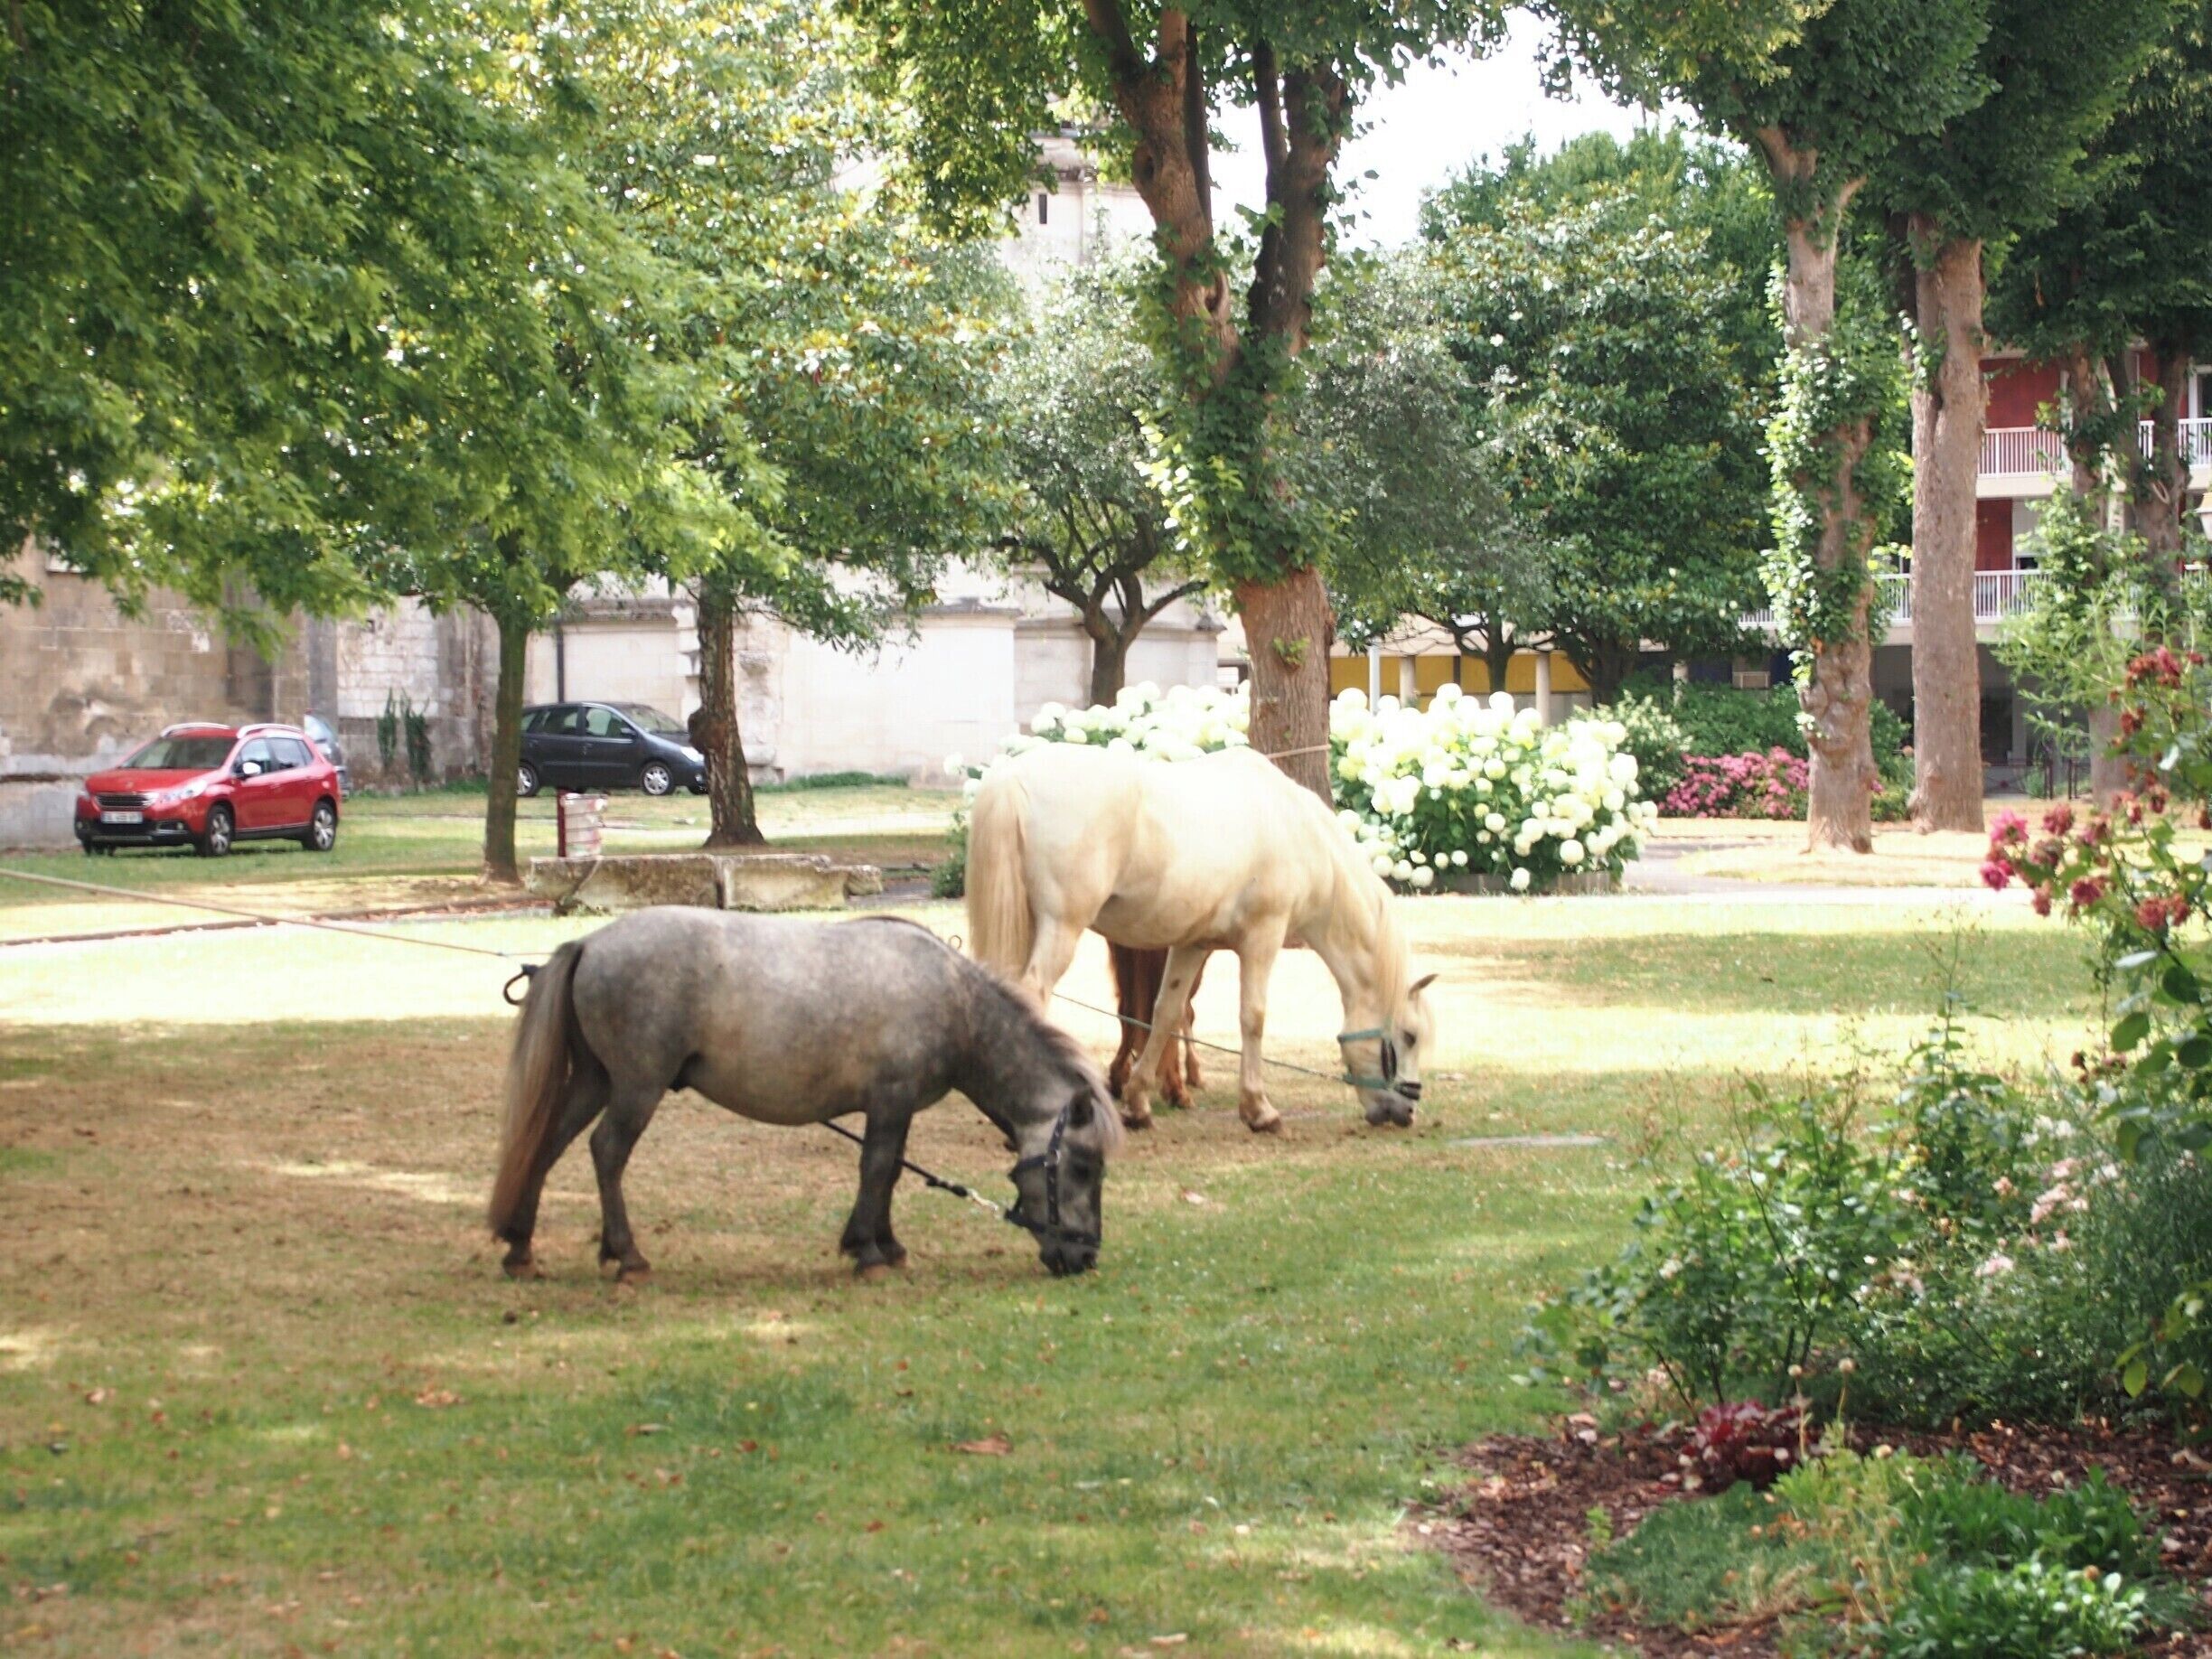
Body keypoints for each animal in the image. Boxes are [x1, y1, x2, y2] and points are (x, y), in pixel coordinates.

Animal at [487, 909, 1120, 1282]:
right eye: (1084, 1168)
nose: (1084, 1256)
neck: (954, 1002)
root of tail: (591, 944)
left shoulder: (896, 1107)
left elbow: (889, 1172)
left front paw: (885, 1244)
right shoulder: (890, 1101)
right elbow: (877, 1168)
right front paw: (867, 1252)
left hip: (597, 1081)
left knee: (547, 1144)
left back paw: (520, 1246)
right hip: (637, 1087)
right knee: (607, 1153)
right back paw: (627, 1255)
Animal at [965, 743, 1437, 1132]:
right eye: (1410, 1036)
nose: (1407, 1113)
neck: (1296, 830)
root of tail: (1012, 776)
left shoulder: (1192, 945)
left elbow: (1166, 1013)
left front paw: (1139, 1103)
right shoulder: (1263, 937)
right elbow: (1253, 1017)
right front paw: (1259, 1110)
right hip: (1061, 928)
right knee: (1032, 993)